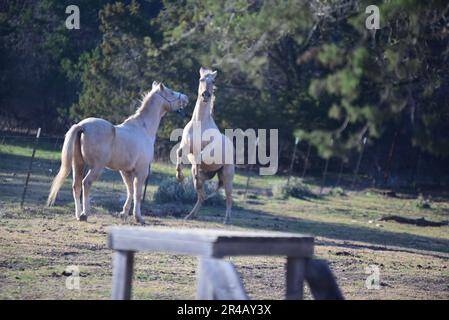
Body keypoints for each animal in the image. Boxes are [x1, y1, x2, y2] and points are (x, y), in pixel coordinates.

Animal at [48, 81, 188, 224]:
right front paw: (138, 217)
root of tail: (82, 126)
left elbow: (130, 191)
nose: (186, 98)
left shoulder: (126, 171)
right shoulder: (141, 171)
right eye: (171, 92)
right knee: (86, 183)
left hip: (78, 165)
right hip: (96, 167)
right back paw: (85, 214)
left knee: (76, 186)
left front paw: (124, 214)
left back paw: (78, 215)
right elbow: (137, 193)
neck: (143, 129)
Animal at [175, 67, 234, 222]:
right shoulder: (186, 146)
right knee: (201, 196)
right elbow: (179, 153)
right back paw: (190, 215)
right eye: (201, 79)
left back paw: (226, 220)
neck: (199, 124)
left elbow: (199, 157)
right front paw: (179, 176)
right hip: (210, 174)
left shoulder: (206, 152)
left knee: (229, 198)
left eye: (212, 81)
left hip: (227, 176)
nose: (205, 95)